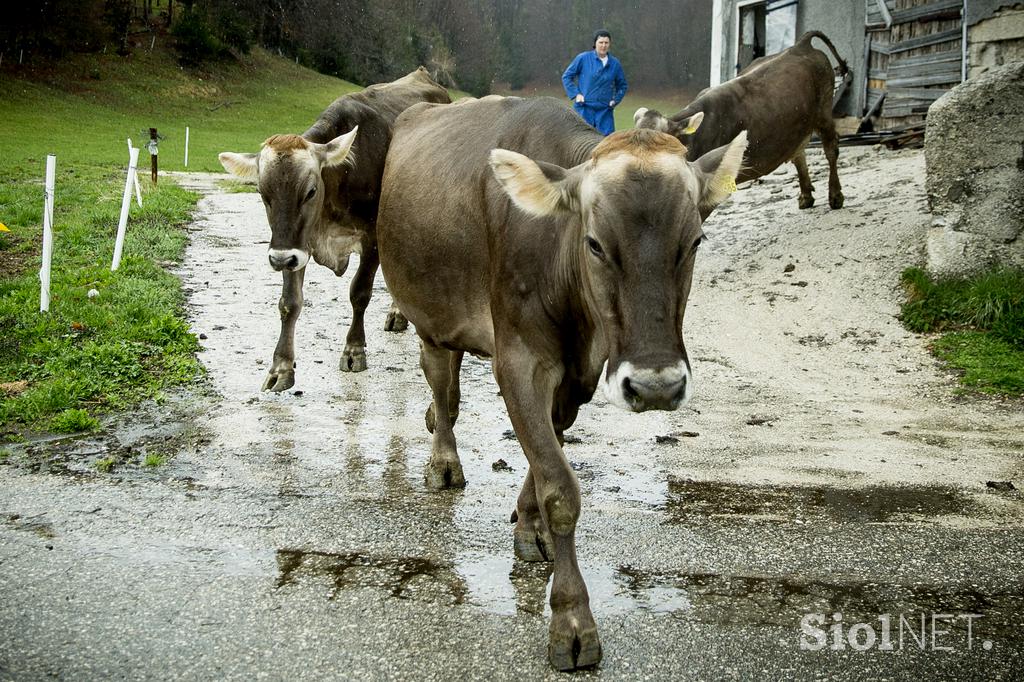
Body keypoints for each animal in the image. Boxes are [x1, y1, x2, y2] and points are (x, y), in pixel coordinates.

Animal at [220, 67, 448, 393]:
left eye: (311, 191)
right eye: (263, 194)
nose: (278, 260)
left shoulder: (372, 238)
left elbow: (360, 293)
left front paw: (354, 350)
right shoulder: (296, 245)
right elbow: (290, 303)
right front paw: (281, 367)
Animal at [374, 96, 745, 667]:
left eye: (694, 241)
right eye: (594, 244)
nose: (656, 386)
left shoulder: (579, 374)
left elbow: (545, 452)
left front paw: (530, 527)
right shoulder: (519, 359)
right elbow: (560, 489)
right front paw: (572, 621)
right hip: (429, 310)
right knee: (442, 381)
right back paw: (443, 461)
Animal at [630, 30, 847, 210]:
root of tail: (800, 45)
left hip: (824, 110)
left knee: (831, 149)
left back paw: (835, 195)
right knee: (798, 153)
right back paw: (806, 196)